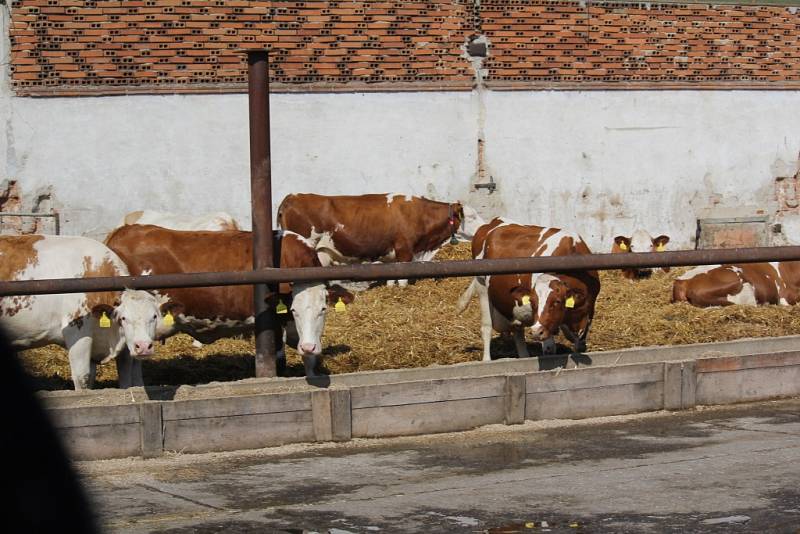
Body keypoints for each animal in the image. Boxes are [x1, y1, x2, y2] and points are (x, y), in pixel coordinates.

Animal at [104, 224, 354, 378]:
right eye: (293, 310)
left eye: (323, 309)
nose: (308, 345)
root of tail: (123, 231)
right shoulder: (274, 322)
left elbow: (310, 361)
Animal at [278, 195, 468, 288]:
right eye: (470, 216)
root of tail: (292, 197)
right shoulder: (405, 250)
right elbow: (403, 280)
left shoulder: (393, 256)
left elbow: (392, 277)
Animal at [456, 217, 600, 360]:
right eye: (533, 302)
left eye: (557, 301)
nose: (536, 332)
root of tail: (493, 222)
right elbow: (550, 348)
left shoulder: (587, 314)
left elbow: (579, 344)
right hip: (482, 286)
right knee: (486, 327)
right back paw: (487, 359)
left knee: (517, 331)